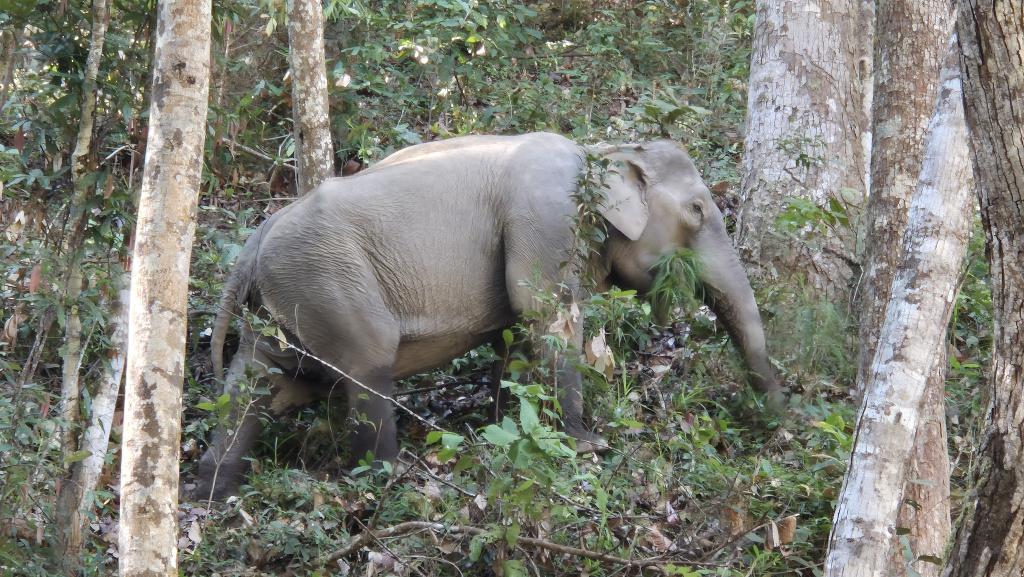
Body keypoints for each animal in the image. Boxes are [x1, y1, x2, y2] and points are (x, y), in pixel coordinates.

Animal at [193, 132, 782, 500]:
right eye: (698, 211)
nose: (778, 420)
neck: (600, 149)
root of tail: (253, 242)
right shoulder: (545, 218)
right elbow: (546, 314)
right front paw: (585, 446)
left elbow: (515, 331)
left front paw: (508, 428)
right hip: (329, 281)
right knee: (365, 366)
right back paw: (387, 478)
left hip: (284, 300)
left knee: (256, 385)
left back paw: (217, 491)